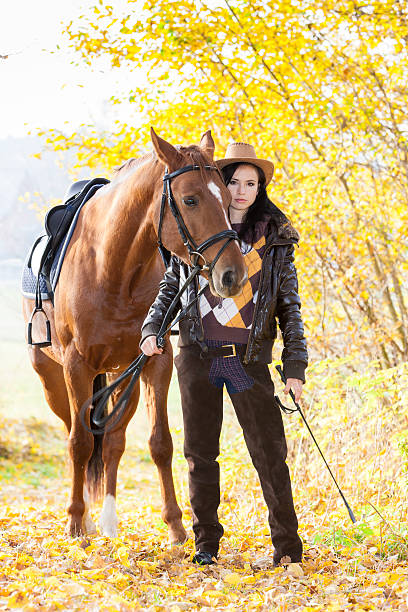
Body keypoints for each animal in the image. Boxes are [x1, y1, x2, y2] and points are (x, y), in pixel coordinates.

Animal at [22, 129, 247, 540]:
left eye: (227, 198)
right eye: (190, 199)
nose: (232, 275)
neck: (112, 268)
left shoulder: (155, 362)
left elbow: (160, 442)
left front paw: (175, 525)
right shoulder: (76, 367)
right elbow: (80, 441)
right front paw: (76, 521)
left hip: (119, 375)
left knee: (112, 440)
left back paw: (110, 520)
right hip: (53, 380)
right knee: (75, 434)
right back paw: (87, 517)